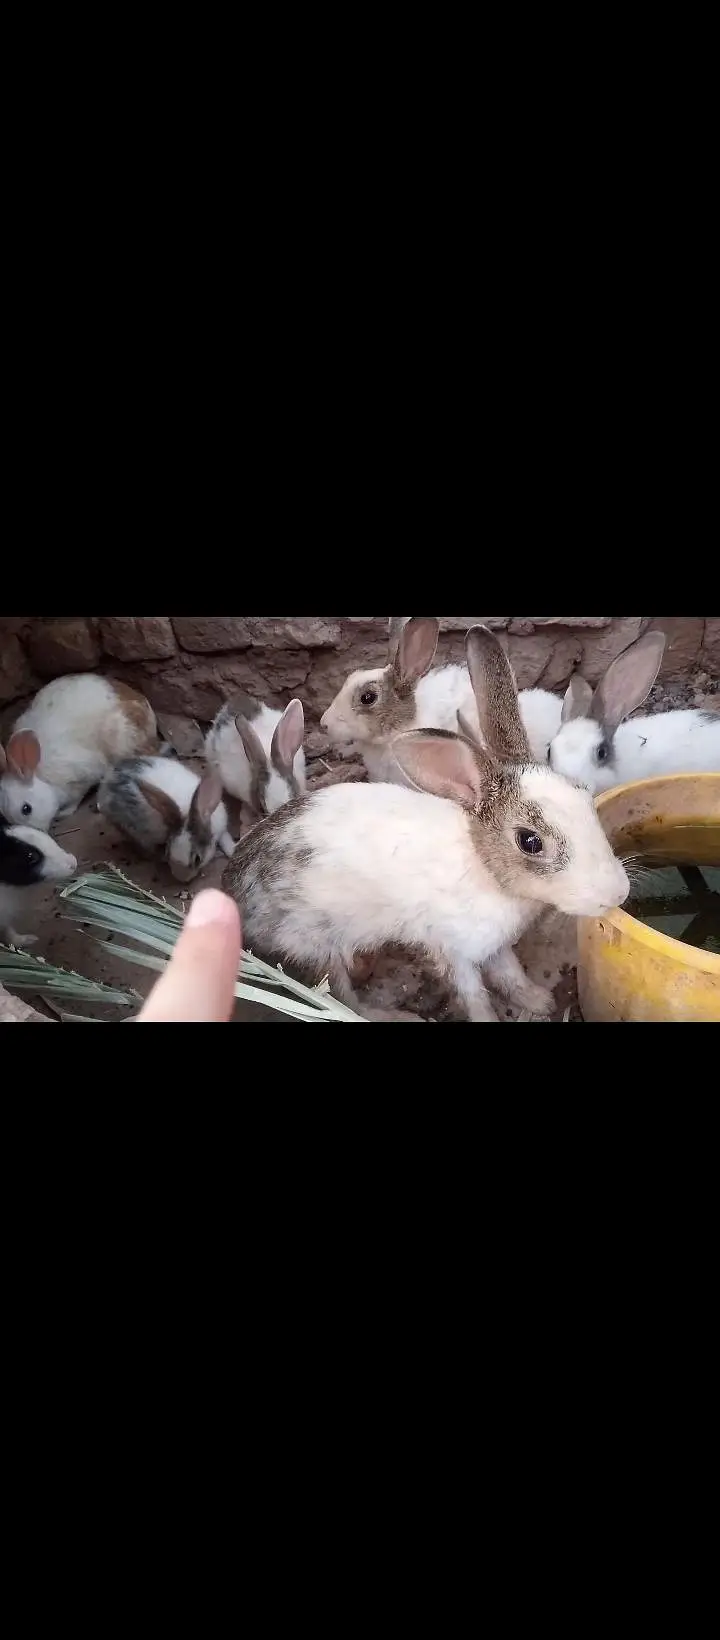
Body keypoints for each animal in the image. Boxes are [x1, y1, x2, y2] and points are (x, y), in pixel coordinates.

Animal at [0, 673, 158, 833]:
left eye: (26, 809)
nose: (39, 831)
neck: (42, 777)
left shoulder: (81, 779)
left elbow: (76, 799)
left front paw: (63, 813)